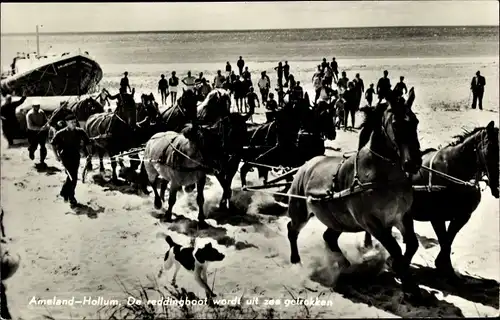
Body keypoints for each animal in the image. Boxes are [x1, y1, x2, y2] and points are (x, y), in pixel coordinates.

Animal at [286, 92, 422, 298]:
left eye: (415, 121)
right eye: (396, 124)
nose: (413, 163)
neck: (383, 176)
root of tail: (305, 165)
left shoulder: (402, 216)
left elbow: (412, 244)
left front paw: (399, 269)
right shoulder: (372, 223)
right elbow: (396, 248)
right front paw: (408, 284)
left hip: (339, 220)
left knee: (329, 237)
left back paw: (344, 263)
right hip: (300, 211)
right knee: (292, 230)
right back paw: (296, 260)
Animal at [364, 121, 500, 278]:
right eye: (490, 150)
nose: (497, 186)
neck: (452, 171)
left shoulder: (462, 217)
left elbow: (448, 240)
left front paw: (443, 265)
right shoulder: (437, 217)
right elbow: (444, 240)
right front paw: (444, 266)